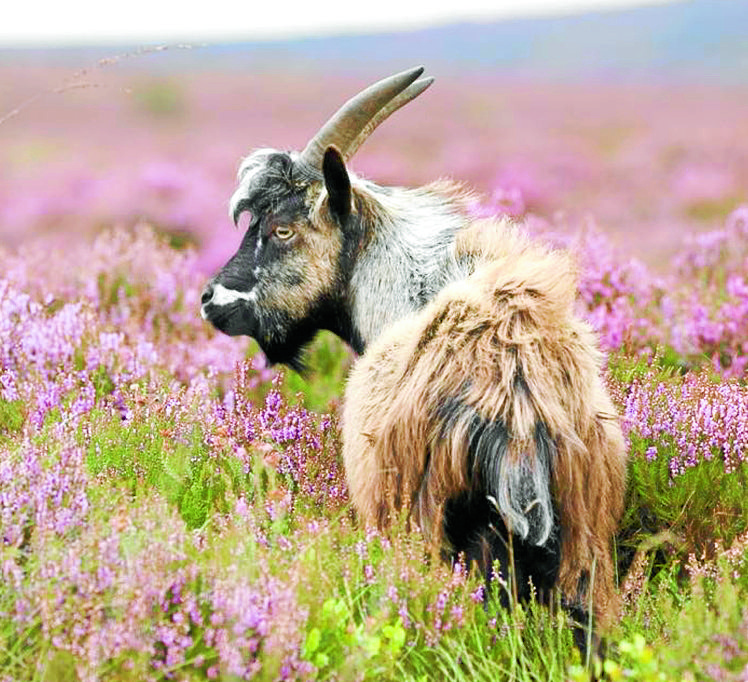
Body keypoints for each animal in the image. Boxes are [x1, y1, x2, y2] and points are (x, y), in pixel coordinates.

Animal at [201, 66, 627, 641]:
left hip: (427, 526)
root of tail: (517, 399)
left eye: (282, 228)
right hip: (584, 542)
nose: (212, 300)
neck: (415, 289)